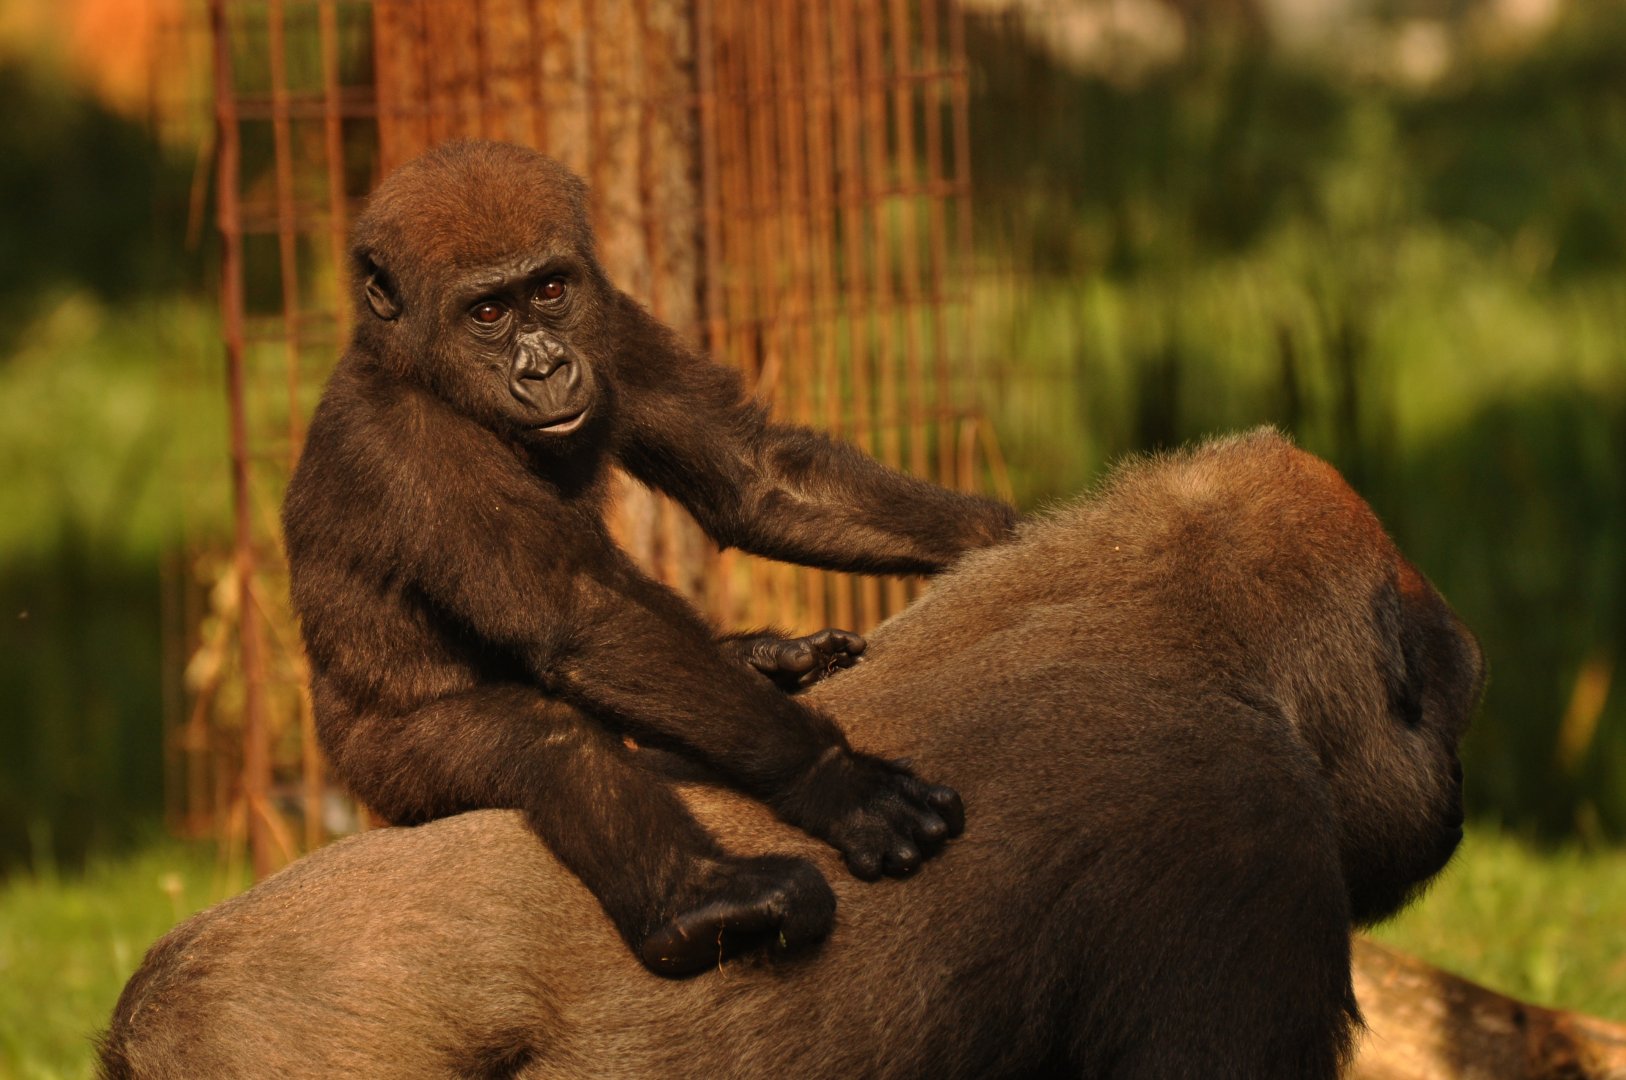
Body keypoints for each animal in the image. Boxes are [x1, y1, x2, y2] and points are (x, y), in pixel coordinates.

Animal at [277, 139, 1019, 977]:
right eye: (488, 313)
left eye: (551, 290)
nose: (544, 368)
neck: (414, 366)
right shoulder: (412, 447)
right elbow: (585, 620)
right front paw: (833, 780)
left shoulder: (608, 320)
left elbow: (752, 475)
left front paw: (994, 533)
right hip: (379, 766)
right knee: (550, 742)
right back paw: (700, 906)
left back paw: (768, 659)